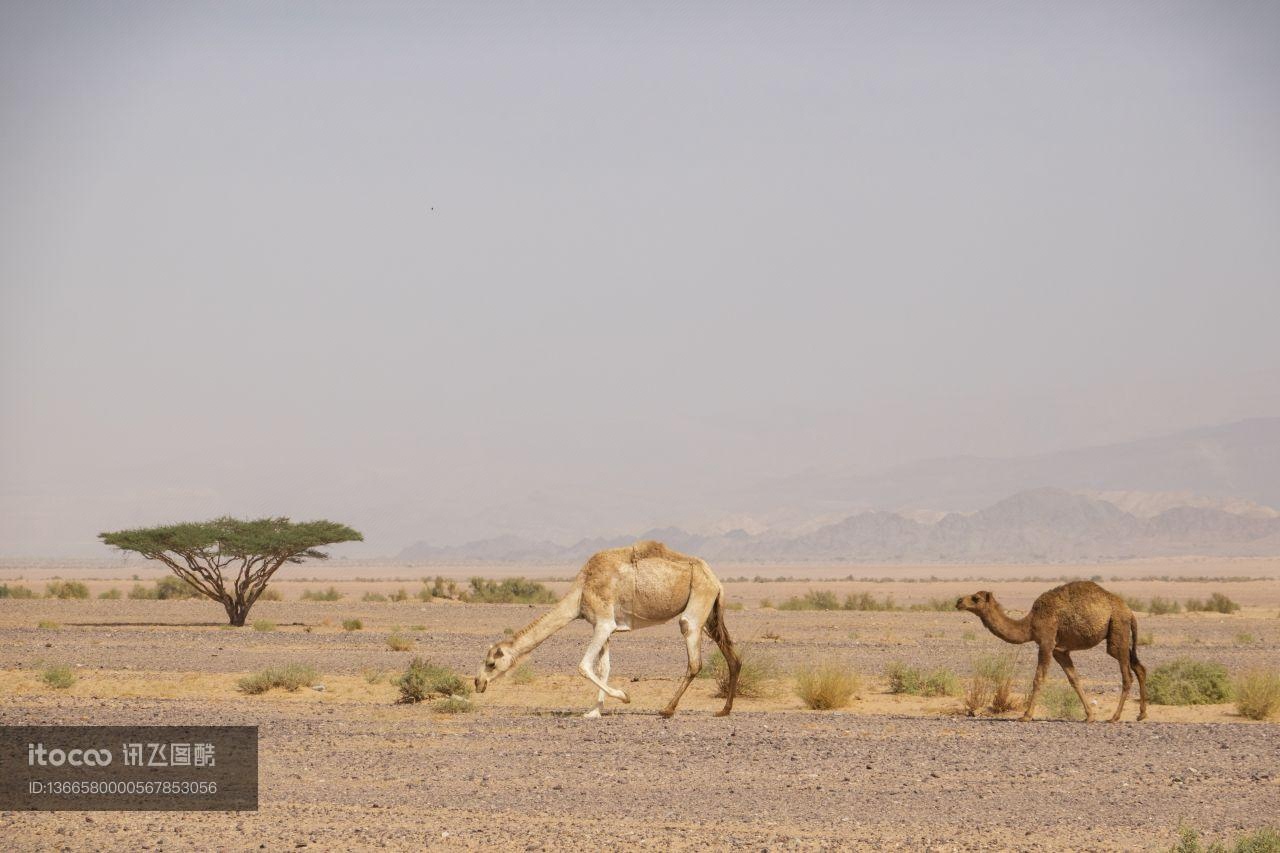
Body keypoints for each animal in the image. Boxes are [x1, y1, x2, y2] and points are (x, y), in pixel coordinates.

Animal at [473, 540, 742, 712]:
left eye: (491, 663)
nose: (477, 683)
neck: (581, 592)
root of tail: (716, 580)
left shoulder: (603, 622)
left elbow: (583, 666)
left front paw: (624, 697)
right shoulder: (606, 628)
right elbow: (604, 668)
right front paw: (594, 711)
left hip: (698, 603)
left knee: (694, 656)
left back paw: (667, 709)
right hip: (711, 613)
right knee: (732, 656)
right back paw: (724, 710)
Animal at [952, 578, 1152, 717]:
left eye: (976, 598)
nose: (959, 601)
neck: (1030, 624)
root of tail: (1129, 611)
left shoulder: (1046, 642)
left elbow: (1038, 678)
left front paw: (1026, 715)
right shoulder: (1059, 650)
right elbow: (1074, 679)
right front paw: (1089, 716)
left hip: (1118, 627)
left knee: (1127, 675)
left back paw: (1115, 717)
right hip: (1119, 633)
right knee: (1139, 667)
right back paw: (1141, 714)